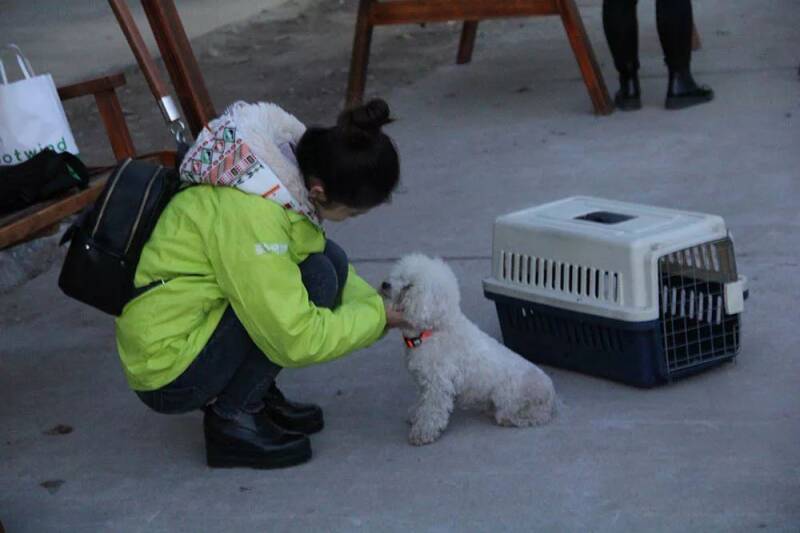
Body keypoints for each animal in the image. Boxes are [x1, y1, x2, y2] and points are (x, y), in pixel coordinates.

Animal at [382, 254, 556, 444]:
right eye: (398, 275)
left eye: (409, 286)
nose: (385, 284)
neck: (432, 331)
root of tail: (550, 394)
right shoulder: (425, 382)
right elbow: (422, 401)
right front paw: (416, 414)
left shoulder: (438, 384)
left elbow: (432, 410)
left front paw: (423, 431)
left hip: (509, 398)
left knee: (527, 416)